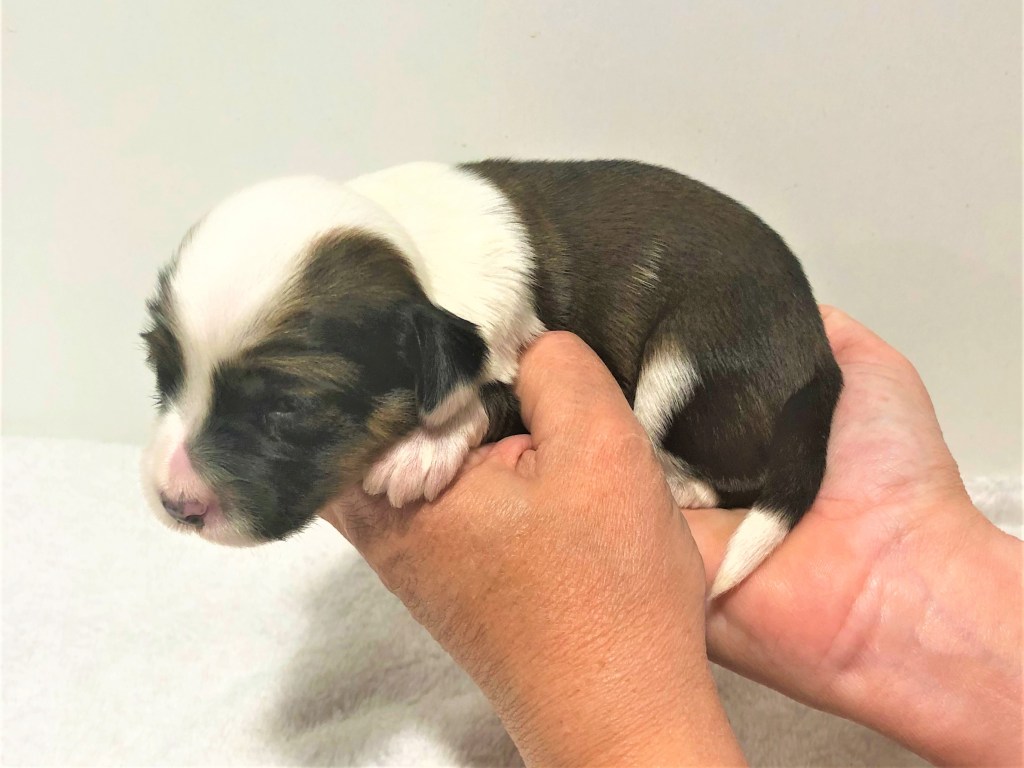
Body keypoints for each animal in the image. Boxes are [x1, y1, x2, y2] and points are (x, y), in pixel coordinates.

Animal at [141, 160, 841, 597]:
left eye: (288, 409)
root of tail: (820, 357)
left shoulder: (520, 339)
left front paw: (421, 450)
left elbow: (484, 394)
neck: (409, 245)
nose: (175, 504)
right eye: (160, 372)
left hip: (689, 354)